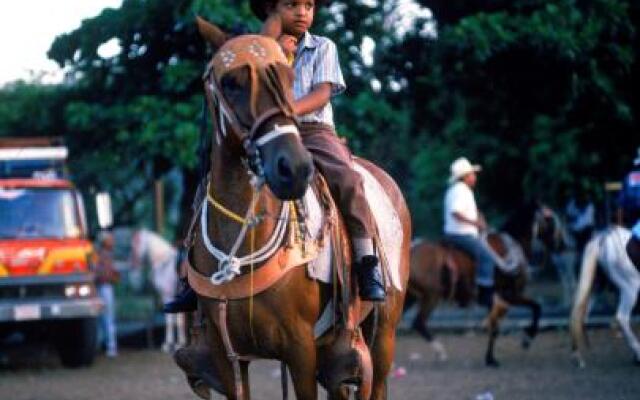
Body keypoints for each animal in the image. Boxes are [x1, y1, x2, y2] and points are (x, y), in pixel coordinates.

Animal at [175, 17, 412, 398]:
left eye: (287, 78)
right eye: (231, 83)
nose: (295, 167)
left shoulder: (300, 349)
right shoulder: (228, 358)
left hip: (383, 333)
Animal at [408, 230, 536, 368]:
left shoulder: (502, 299)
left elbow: (533, 307)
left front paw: (490, 358)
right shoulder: (508, 295)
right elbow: (534, 307)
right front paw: (527, 339)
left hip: (412, 297)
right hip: (431, 296)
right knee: (418, 322)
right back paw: (441, 352)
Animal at [568, 225, 640, 366]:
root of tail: (602, 239)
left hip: (597, 287)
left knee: (581, 314)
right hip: (631, 286)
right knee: (621, 317)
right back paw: (638, 352)